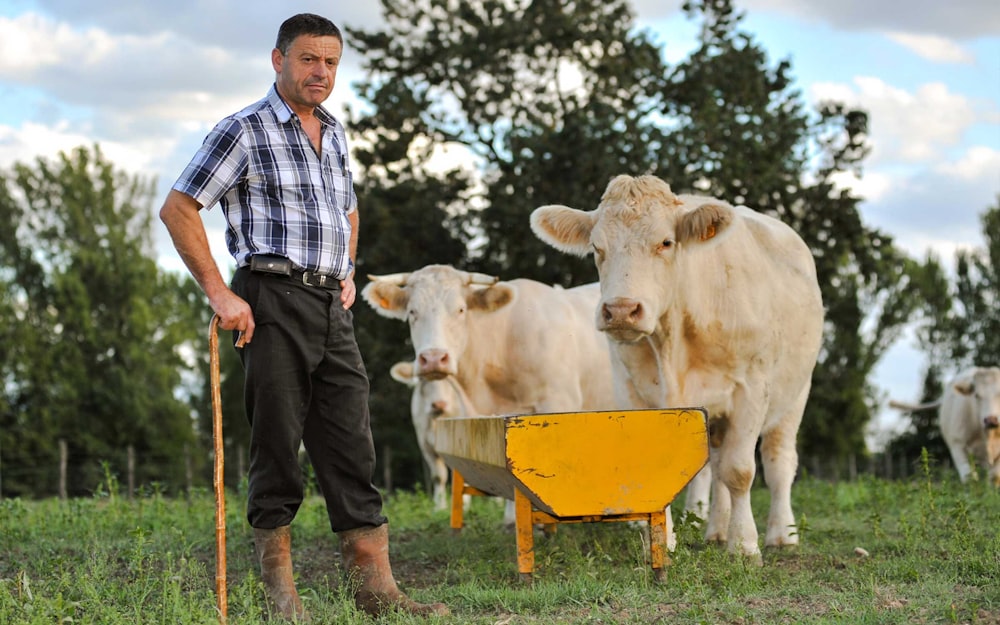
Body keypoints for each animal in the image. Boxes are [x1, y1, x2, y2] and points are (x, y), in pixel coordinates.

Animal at [528, 173, 824, 560]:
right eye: (596, 247)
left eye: (666, 242)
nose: (620, 310)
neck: (673, 344)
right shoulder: (632, 391)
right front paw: (662, 542)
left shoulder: (752, 387)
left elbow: (741, 470)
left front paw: (744, 545)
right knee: (717, 465)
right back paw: (716, 531)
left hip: (796, 393)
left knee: (778, 463)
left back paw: (781, 534)